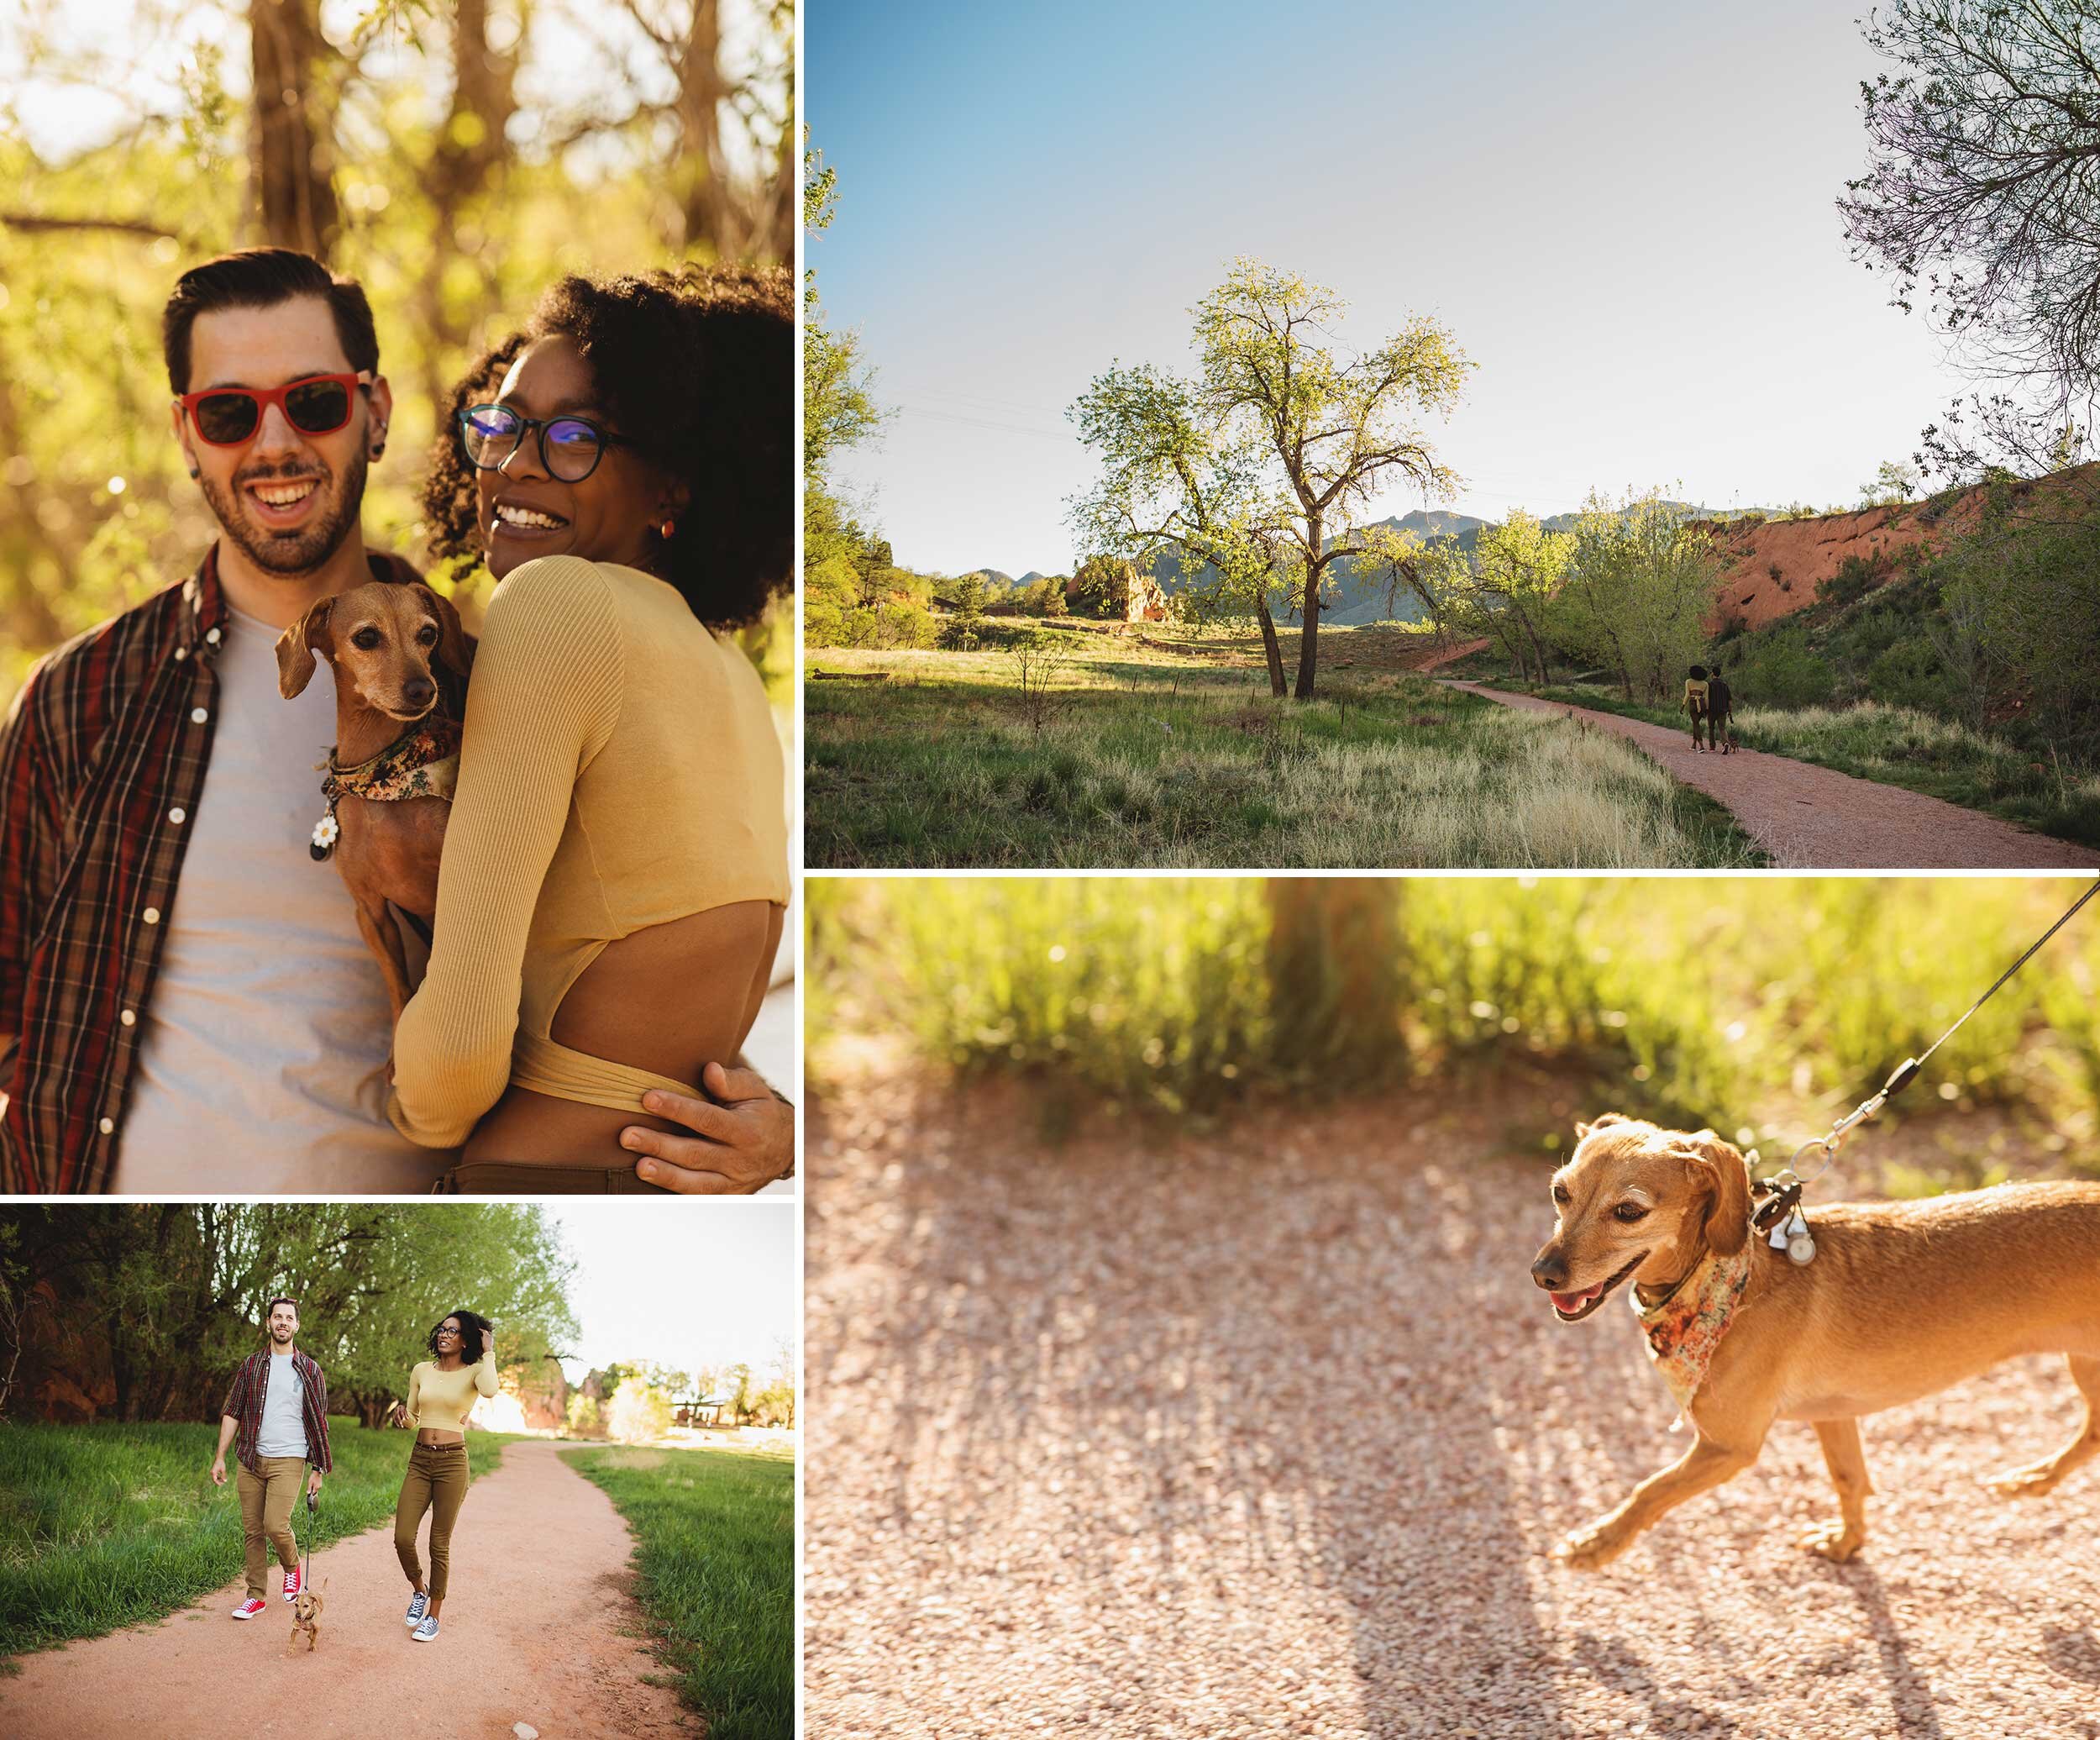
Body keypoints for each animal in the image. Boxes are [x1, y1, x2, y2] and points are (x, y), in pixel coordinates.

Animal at [277, 584, 470, 1021]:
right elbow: (400, 993)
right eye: (366, 637)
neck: (382, 775)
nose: (423, 689)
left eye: (428, 634)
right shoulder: (370, 912)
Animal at [1529, 1117, 2100, 1571]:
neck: (1734, 1281)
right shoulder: (1834, 1416)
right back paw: (2036, 1480)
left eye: (1629, 1211)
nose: (1542, 1274)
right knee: (2091, 1434)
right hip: (2085, 1365)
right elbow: (1850, 1481)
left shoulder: (1729, 1446)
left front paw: (1597, 1544)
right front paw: (1847, 1544)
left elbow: (1649, 1489)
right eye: (1560, 1193)